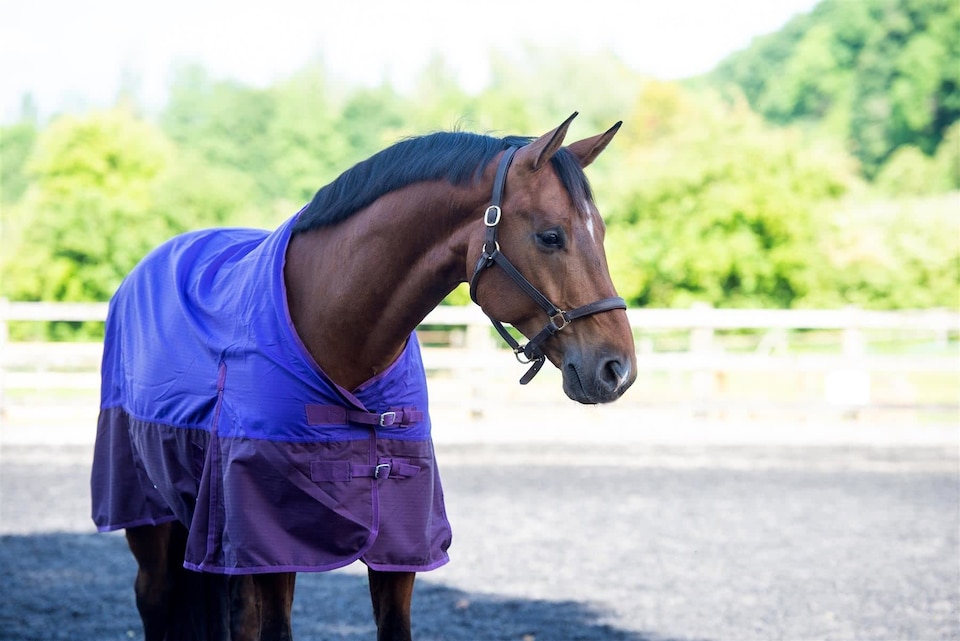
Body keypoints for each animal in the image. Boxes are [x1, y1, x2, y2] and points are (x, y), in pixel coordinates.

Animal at [90, 112, 637, 640]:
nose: (618, 369)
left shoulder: (399, 543)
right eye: (551, 236)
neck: (336, 334)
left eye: (601, 234)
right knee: (155, 598)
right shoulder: (273, 543)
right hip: (152, 518)